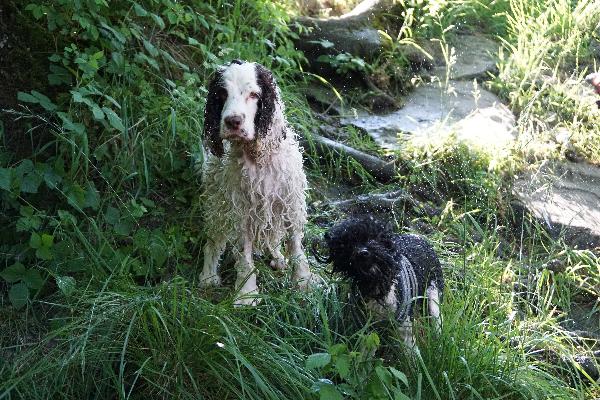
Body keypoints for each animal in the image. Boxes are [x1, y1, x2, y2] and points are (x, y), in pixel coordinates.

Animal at [199, 60, 314, 305]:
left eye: (254, 94)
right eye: (221, 94)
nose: (233, 121)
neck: (258, 158)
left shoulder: (290, 202)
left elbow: (296, 247)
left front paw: (304, 283)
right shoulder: (240, 211)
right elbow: (244, 257)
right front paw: (246, 294)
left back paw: (277, 257)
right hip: (217, 203)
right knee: (213, 241)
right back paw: (208, 276)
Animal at [315, 216, 444, 346]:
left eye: (373, 238)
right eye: (347, 245)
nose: (362, 253)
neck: (377, 284)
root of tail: (419, 237)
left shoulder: (404, 326)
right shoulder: (367, 330)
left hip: (434, 298)